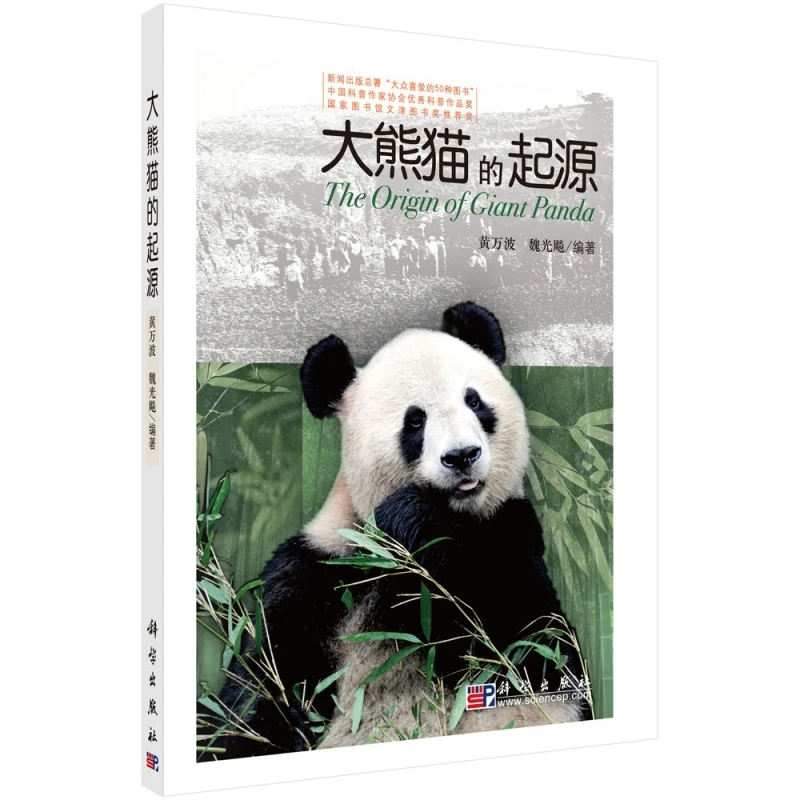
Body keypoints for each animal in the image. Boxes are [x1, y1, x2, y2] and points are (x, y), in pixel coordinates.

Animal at [207, 302, 589, 759]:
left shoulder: (512, 534)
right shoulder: (319, 569)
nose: (462, 456)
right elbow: (259, 689)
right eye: (415, 421)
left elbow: (537, 653)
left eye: (474, 401)